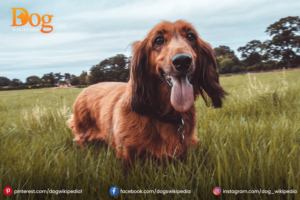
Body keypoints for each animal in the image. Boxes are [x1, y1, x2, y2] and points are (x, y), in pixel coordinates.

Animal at [67, 19, 225, 165]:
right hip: (82, 132)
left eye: (191, 36)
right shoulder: (127, 154)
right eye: (158, 40)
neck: (163, 114)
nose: (183, 61)